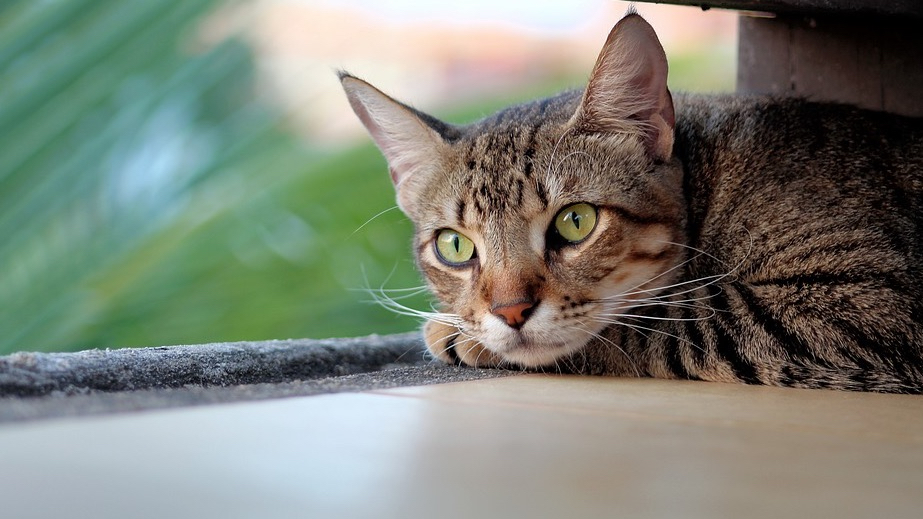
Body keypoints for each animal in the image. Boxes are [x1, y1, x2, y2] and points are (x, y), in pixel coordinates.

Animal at [342, 11, 923, 394]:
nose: (509, 312)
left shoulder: (866, 297)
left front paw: (456, 334)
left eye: (576, 222)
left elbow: (663, 323)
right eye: (455, 247)